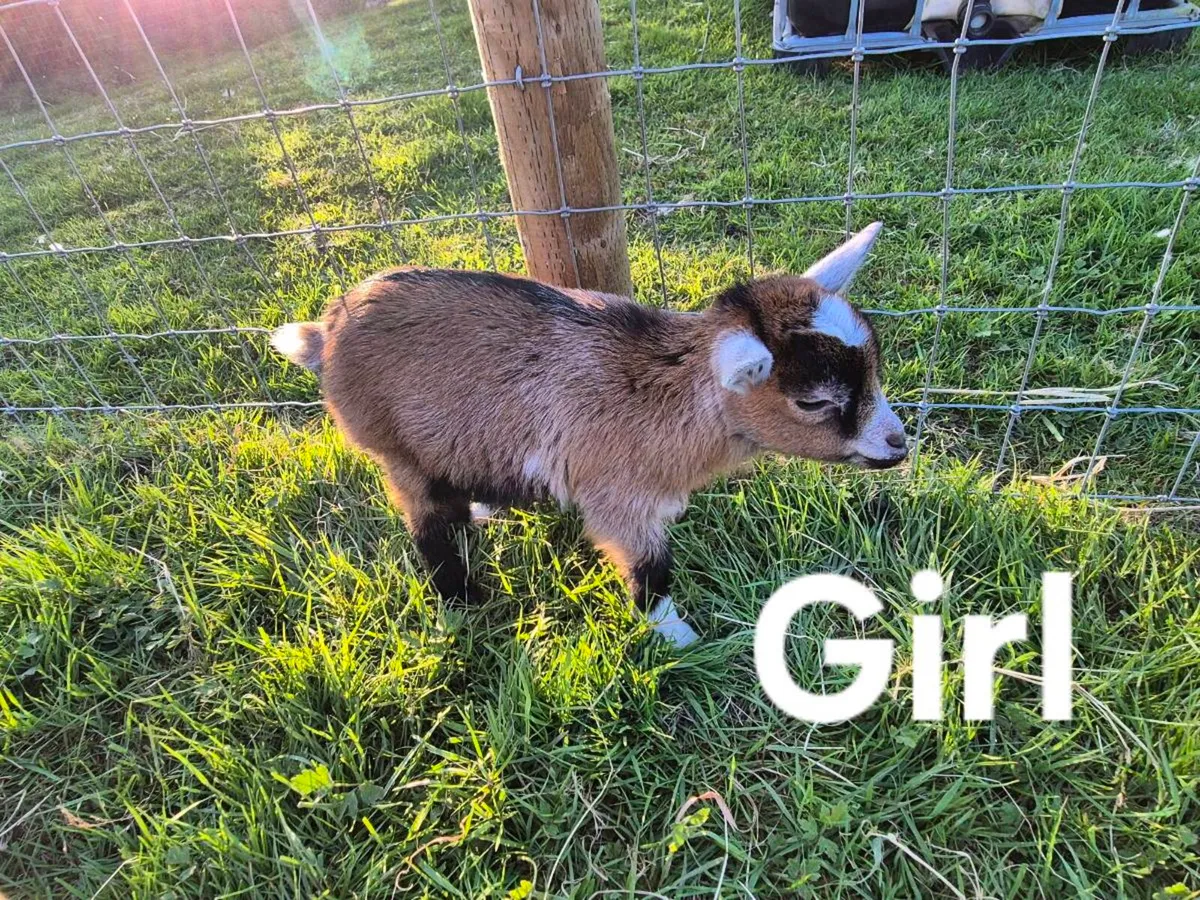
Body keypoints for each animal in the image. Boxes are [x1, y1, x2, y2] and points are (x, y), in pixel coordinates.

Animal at [271, 222, 906, 647]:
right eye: (814, 401)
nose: (897, 446)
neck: (666, 397)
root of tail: (326, 331)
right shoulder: (617, 499)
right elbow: (650, 570)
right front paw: (678, 637)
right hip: (394, 447)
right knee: (426, 525)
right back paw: (463, 597)